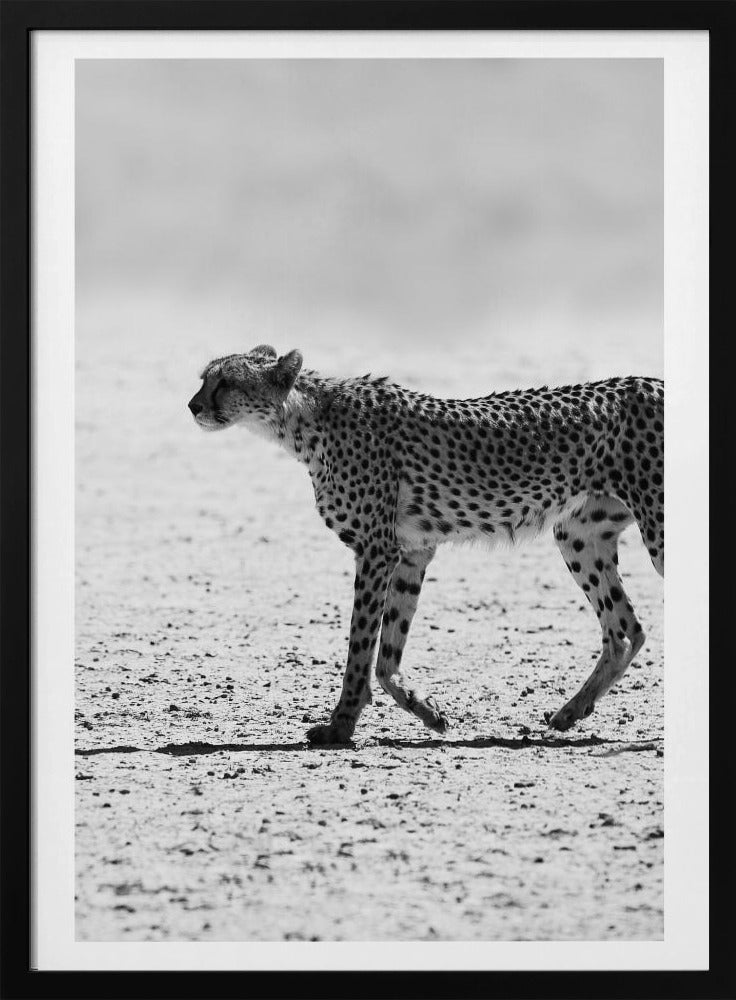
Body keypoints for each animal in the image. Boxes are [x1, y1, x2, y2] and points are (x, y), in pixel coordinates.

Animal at [189, 345, 664, 745]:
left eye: (225, 381)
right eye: (204, 378)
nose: (193, 405)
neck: (304, 420)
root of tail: (652, 380)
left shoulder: (376, 549)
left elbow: (360, 647)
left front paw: (340, 726)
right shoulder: (412, 551)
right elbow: (387, 654)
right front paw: (428, 712)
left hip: (655, 528)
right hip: (578, 535)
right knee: (626, 630)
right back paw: (571, 711)